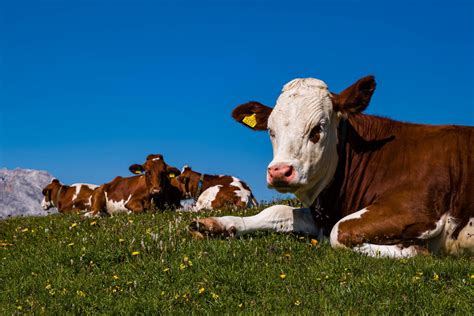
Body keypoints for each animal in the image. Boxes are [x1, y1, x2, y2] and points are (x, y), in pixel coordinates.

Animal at [190, 75, 474, 258]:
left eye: (318, 128)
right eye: (270, 131)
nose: (279, 171)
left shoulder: (419, 209)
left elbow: (340, 232)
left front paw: (413, 249)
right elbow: (277, 211)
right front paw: (215, 224)